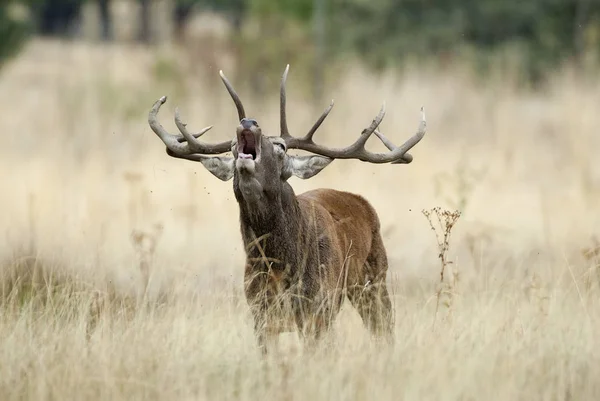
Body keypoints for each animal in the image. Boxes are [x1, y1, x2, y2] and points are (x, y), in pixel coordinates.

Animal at [147, 65, 424, 354]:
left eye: (280, 148)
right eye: (232, 148)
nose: (249, 122)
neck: (280, 264)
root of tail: (361, 202)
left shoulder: (318, 309)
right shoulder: (260, 313)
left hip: (375, 276)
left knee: (384, 328)